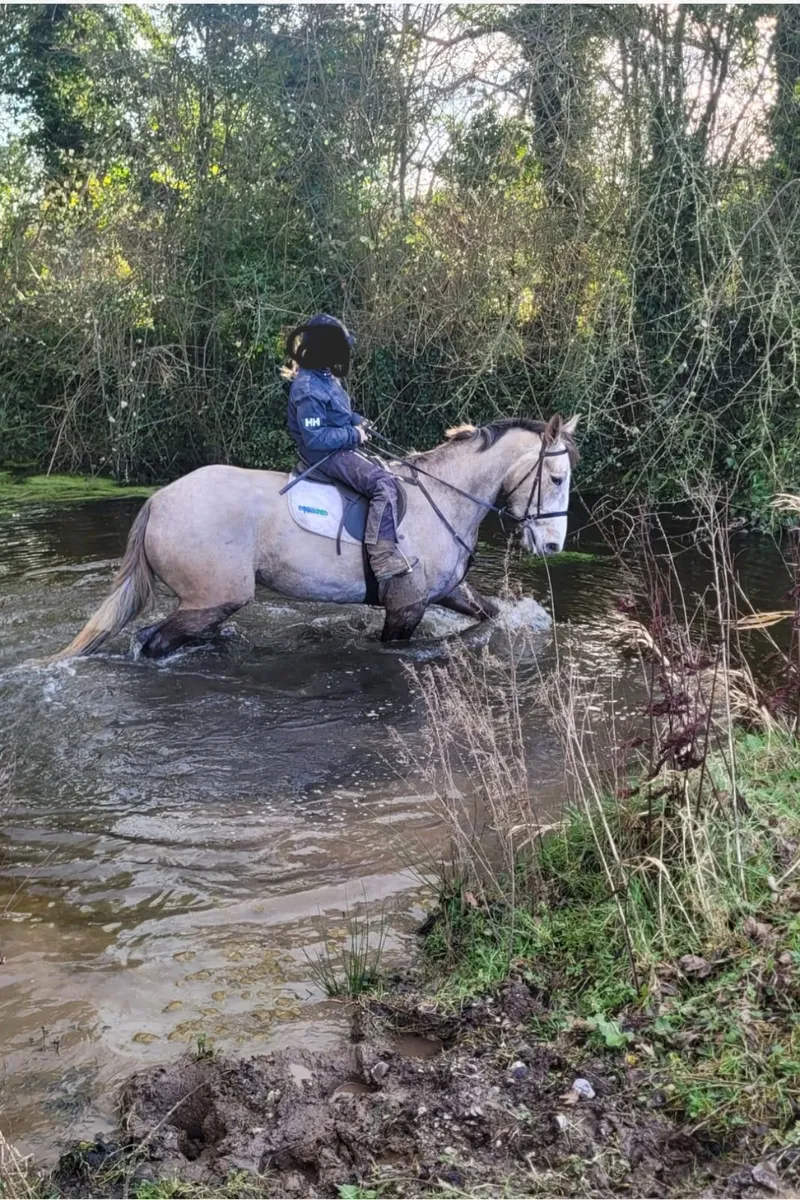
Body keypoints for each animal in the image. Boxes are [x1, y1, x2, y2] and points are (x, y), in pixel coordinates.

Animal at [50, 413, 579, 660]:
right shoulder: (405, 607)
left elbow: (491, 615)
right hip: (213, 598)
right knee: (152, 641)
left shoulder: (447, 593)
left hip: (208, 605)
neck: (445, 497)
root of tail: (158, 500)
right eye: (556, 478)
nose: (552, 547)